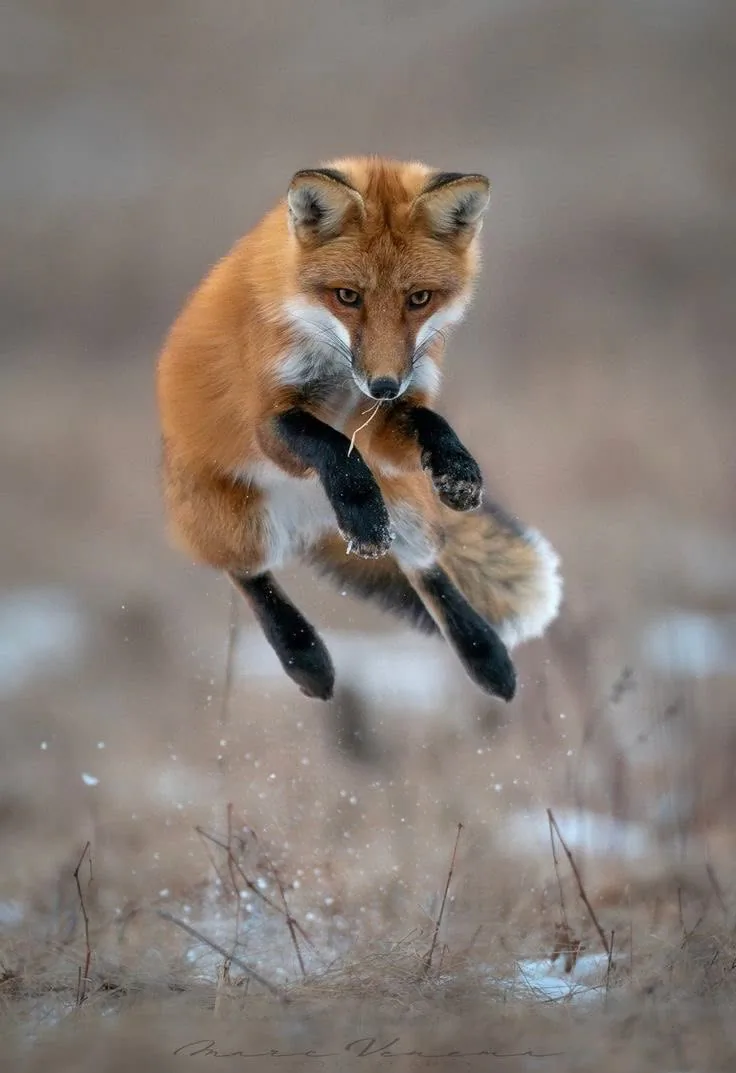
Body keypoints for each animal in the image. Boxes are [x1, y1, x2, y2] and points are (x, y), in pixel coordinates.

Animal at [156, 156, 562, 703]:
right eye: (347, 296)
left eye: (419, 298)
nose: (384, 384)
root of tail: (313, 520)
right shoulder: (269, 419)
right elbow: (332, 446)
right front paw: (362, 513)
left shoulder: (385, 425)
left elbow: (428, 422)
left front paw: (458, 470)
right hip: (238, 522)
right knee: (246, 574)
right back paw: (305, 656)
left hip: (406, 505)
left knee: (424, 568)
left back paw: (487, 657)